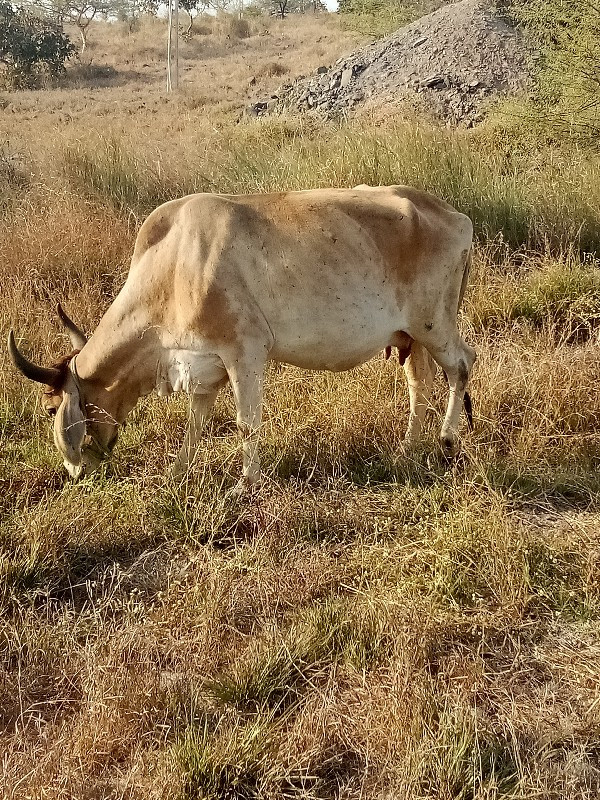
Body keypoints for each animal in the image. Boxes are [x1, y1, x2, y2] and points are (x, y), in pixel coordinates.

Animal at [8, 186, 474, 488]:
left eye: (49, 410)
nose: (77, 473)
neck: (172, 267)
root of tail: (454, 215)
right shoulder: (204, 370)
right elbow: (195, 427)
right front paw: (177, 474)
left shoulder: (245, 354)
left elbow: (246, 423)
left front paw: (246, 482)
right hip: (410, 335)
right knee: (420, 382)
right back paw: (407, 448)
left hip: (434, 325)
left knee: (462, 364)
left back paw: (447, 441)